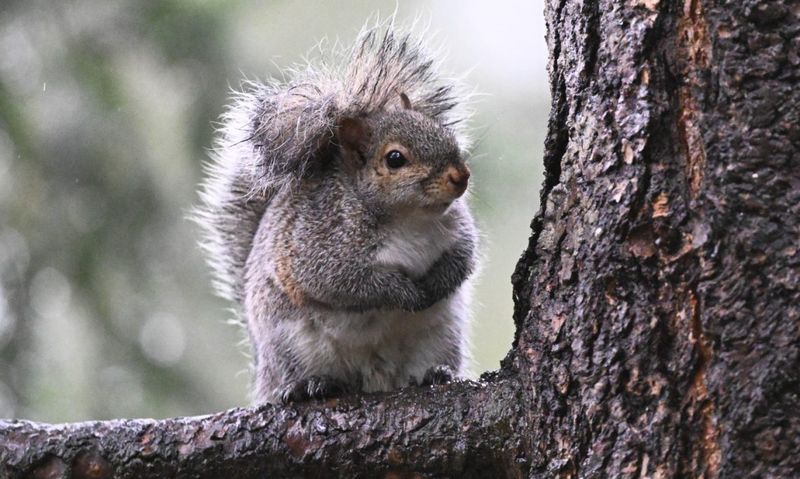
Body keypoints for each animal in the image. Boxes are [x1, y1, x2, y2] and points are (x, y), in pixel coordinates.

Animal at [195, 26, 479, 404]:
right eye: (395, 159)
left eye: (442, 132)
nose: (460, 176)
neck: (409, 218)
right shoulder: (318, 244)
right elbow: (344, 282)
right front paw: (404, 293)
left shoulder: (458, 228)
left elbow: (463, 258)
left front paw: (436, 284)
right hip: (289, 345)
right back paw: (310, 385)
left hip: (440, 338)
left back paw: (436, 373)